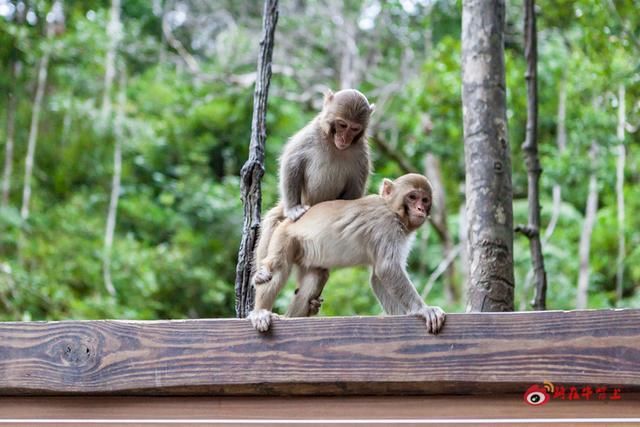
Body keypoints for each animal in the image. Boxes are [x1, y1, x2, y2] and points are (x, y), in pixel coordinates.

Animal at [249, 174, 444, 334]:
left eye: (425, 200)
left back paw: (291, 316)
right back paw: (260, 312)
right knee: (277, 268)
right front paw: (423, 309)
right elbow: (387, 268)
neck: (392, 210)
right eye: (412, 197)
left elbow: (378, 277)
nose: (420, 209)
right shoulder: (386, 226)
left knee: (318, 275)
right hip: (285, 237)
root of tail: (289, 222)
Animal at [254, 88, 376, 316]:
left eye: (355, 128)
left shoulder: (362, 156)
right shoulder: (310, 135)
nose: (345, 138)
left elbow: (353, 197)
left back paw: (310, 305)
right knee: (275, 220)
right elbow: (291, 163)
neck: (335, 145)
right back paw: (261, 273)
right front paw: (294, 209)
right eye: (342, 124)